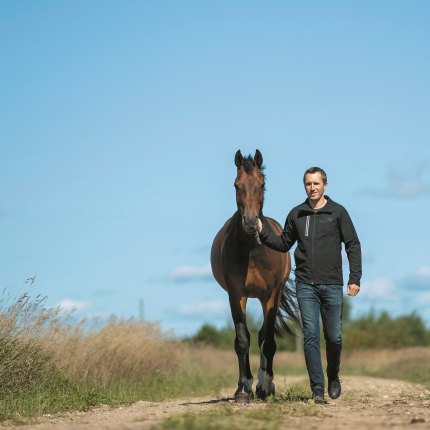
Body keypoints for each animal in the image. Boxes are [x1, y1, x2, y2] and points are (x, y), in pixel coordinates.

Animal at [211, 149, 300, 404]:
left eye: (261, 184)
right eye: (236, 185)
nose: (251, 223)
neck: (252, 249)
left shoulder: (270, 295)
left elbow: (267, 341)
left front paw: (266, 386)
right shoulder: (236, 295)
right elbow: (242, 340)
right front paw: (243, 389)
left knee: (263, 335)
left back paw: (262, 384)